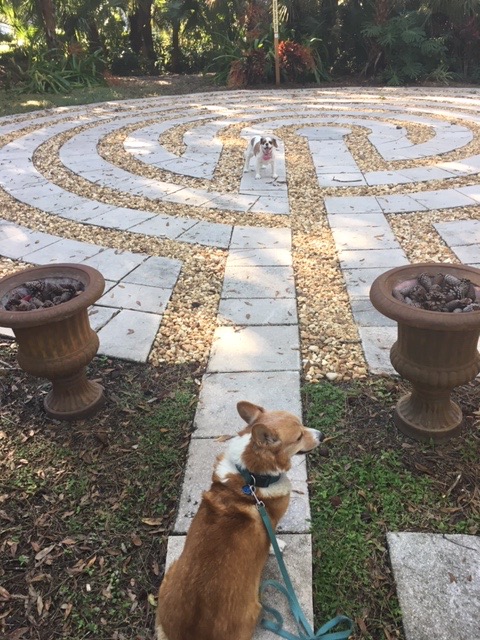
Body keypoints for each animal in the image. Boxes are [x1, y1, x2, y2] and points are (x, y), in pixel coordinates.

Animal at [156, 402, 322, 640]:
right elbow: (273, 539)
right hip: (254, 608)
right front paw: (278, 546)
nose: (322, 435)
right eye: (299, 436)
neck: (250, 476)